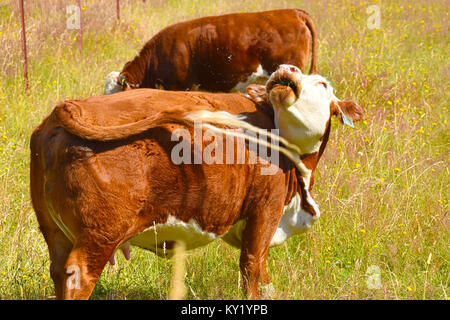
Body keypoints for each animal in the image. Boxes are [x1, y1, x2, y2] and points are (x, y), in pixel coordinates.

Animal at [30, 65, 362, 300]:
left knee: (58, 270)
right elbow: (252, 266)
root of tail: (71, 106)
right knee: (78, 275)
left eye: (322, 84)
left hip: (55, 231)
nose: (286, 68)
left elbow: (263, 271)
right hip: (100, 234)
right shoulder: (266, 209)